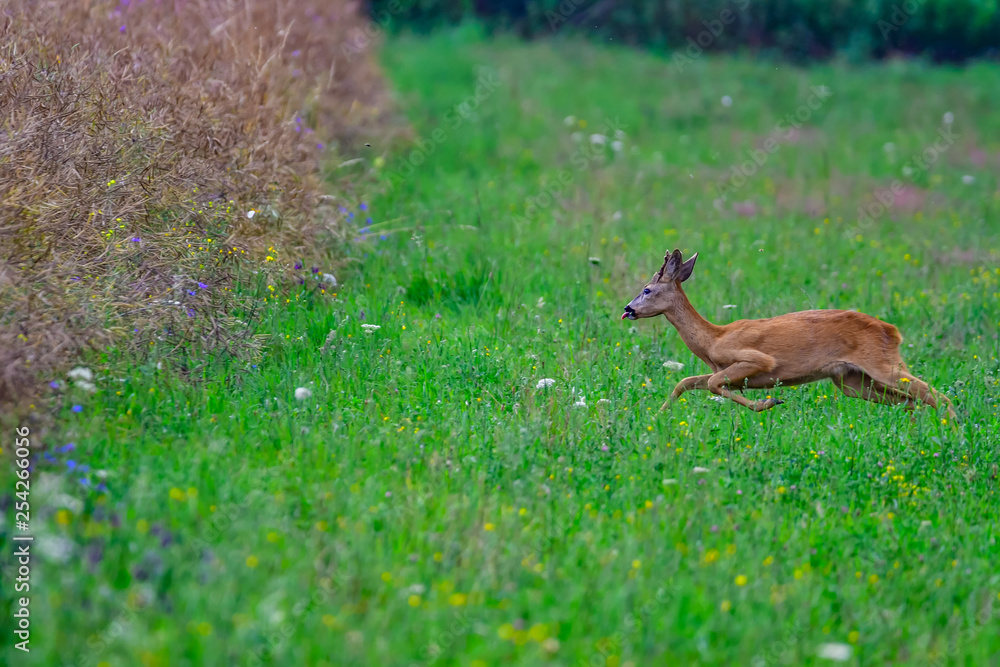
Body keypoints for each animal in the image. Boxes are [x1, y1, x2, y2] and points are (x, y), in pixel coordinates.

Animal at [622, 249, 956, 418]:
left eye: (647, 289)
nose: (628, 308)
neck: (713, 339)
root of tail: (892, 331)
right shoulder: (722, 368)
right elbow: (687, 382)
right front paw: (658, 416)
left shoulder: (756, 359)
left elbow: (715, 384)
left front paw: (769, 403)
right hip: (851, 380)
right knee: (911, 400)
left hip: (882, 365)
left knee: (934, 394)